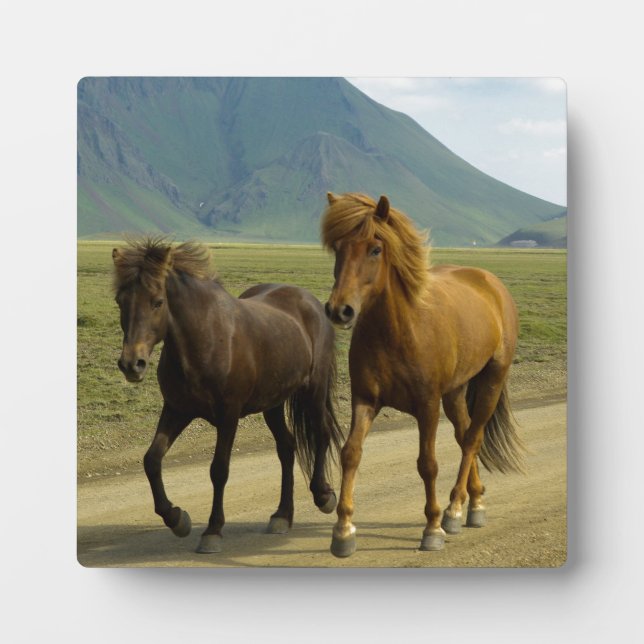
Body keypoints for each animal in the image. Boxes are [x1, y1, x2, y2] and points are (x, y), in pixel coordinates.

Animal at [112, 237, 343, 554]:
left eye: (157, 302)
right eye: (120, 301)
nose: (131, 364)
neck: (205, 340)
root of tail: (310, 301)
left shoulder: (228, 415)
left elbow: (219, 470)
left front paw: (212, 531)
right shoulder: (176, 409)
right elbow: (152, 460)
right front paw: (176, 518)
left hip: (314, 390)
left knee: (320, 433)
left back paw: (323, 496)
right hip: (273, 403)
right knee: (286, 447)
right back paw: (282, 515)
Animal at [321, 192, 524, 557]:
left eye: (375, 249)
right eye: (338, 248)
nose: (339, 310)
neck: (397, 331)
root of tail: (491, 282)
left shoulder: (427, 405)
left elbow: (427, 464)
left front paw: (432, 527)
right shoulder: (365, 400)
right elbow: (350, 453)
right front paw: (343, 530)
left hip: (492, 379)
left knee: (473, 439)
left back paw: (455, 509)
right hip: (455, 392)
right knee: (464, 434)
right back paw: (475, 503)